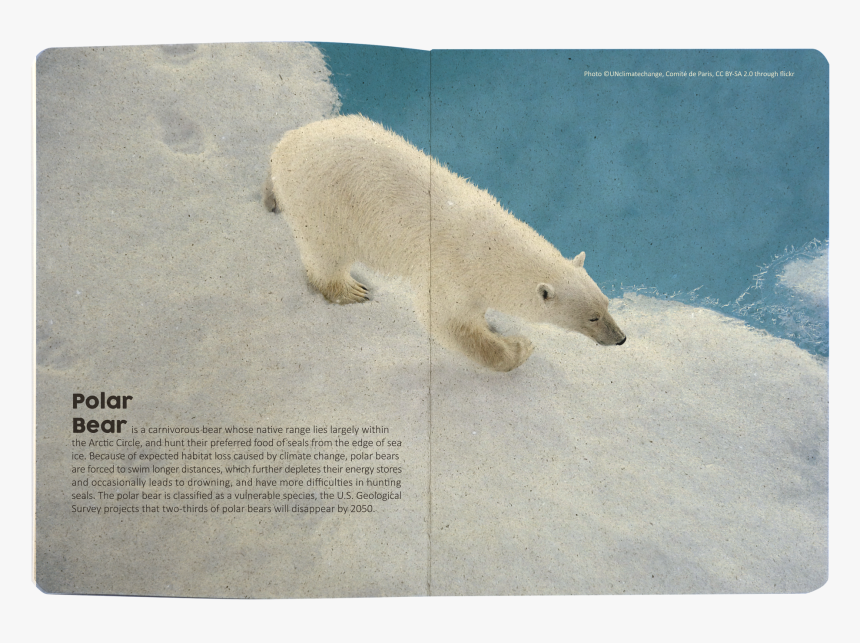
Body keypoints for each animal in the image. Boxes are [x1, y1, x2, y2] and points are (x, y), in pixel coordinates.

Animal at [265, 115, 626, 371]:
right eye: (592, 317)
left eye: (607, 303)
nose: (620, 339)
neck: (489, 249)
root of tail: (287, 142)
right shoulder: (452, 273)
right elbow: (448, 322)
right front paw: (518, 348)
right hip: (324, 205)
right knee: (326, 254)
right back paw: (351, 289)